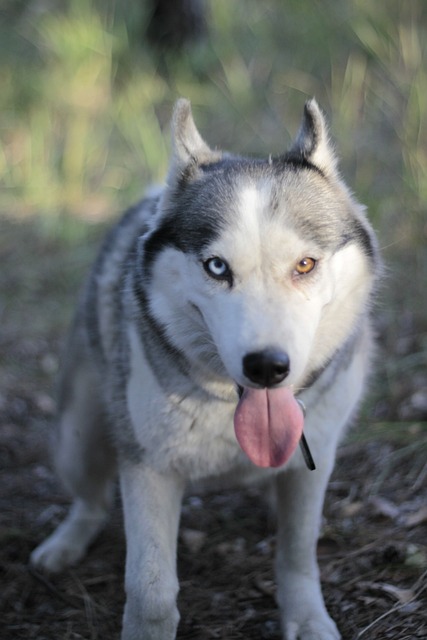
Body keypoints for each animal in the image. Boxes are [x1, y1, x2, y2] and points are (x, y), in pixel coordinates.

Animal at [31, 97, 380, 636]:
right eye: (217, 267)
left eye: (304, 265)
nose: (266, 367)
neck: (225, 407)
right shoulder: (149, 468)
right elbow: (151, 590)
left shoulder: (314, 461)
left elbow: (298, 551)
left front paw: (307, 619)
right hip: (77, 438)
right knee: (91, 501)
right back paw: (64, 544)